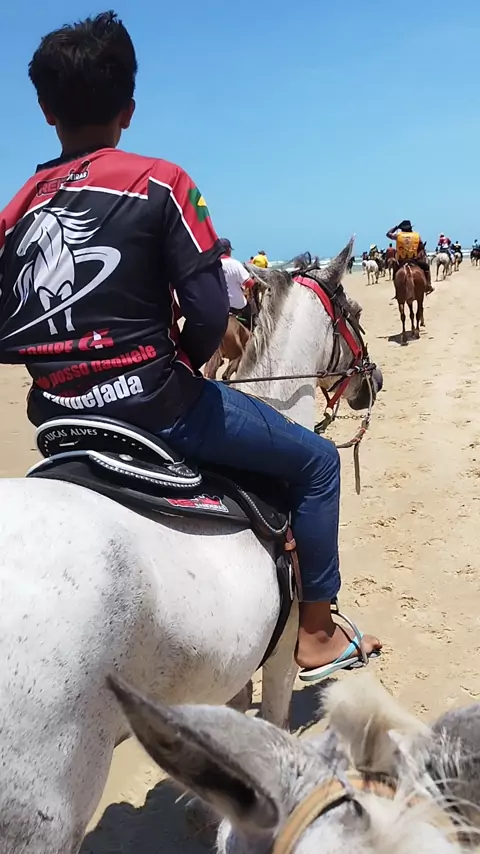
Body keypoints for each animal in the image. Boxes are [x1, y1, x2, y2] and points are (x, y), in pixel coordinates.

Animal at [11, 207, 119, 337]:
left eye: (35, 227)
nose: (20, 250)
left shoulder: (67, 288)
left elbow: (66, 309)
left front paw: (70, 327)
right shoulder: (43, 294)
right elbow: (48, 313)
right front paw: (53, 331)